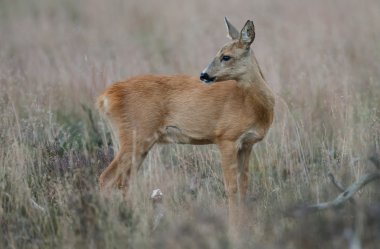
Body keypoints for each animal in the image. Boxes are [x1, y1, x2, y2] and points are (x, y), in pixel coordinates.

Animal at [96, 17, 274, 216]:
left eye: (226, 56)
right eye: (219, 53)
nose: (203, 75)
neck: (253, 105)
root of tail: (105, 97)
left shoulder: (247, 144)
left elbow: (244, 186)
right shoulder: (226, 138)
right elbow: (232, 188)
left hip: (140, 143)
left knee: (124, 182)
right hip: (135, 136)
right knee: (106, 178)